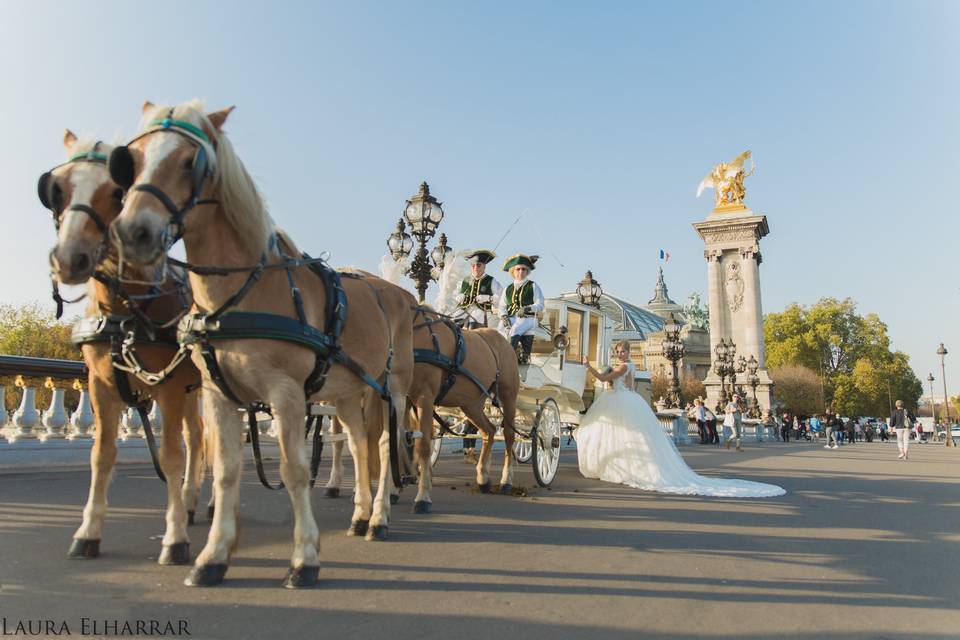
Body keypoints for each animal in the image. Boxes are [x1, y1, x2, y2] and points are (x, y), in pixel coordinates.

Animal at [40, 132, 205, 564]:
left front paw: (175, 539)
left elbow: (171, 455)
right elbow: (102, 454)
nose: (69, 258)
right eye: (57, 189)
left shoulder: (168, 387)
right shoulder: (102, 385)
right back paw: (190, 503)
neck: (126, 312)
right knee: (198, 437)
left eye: (117, 190)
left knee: (199, 443)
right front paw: (88, 533)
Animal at [109, 101, 416, 592]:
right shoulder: (219, 395)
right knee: (357, 444)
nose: (132, 232)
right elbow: (225, 471)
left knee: (386, 445)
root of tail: (399, 294)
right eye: (132, 159)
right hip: (349, 393)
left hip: (394, 389)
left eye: (191, 161)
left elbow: (294, 471)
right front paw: (213, 556)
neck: (244, 293)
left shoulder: (286, 393)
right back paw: (361, 515)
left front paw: (304, 558)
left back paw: (380, 519)